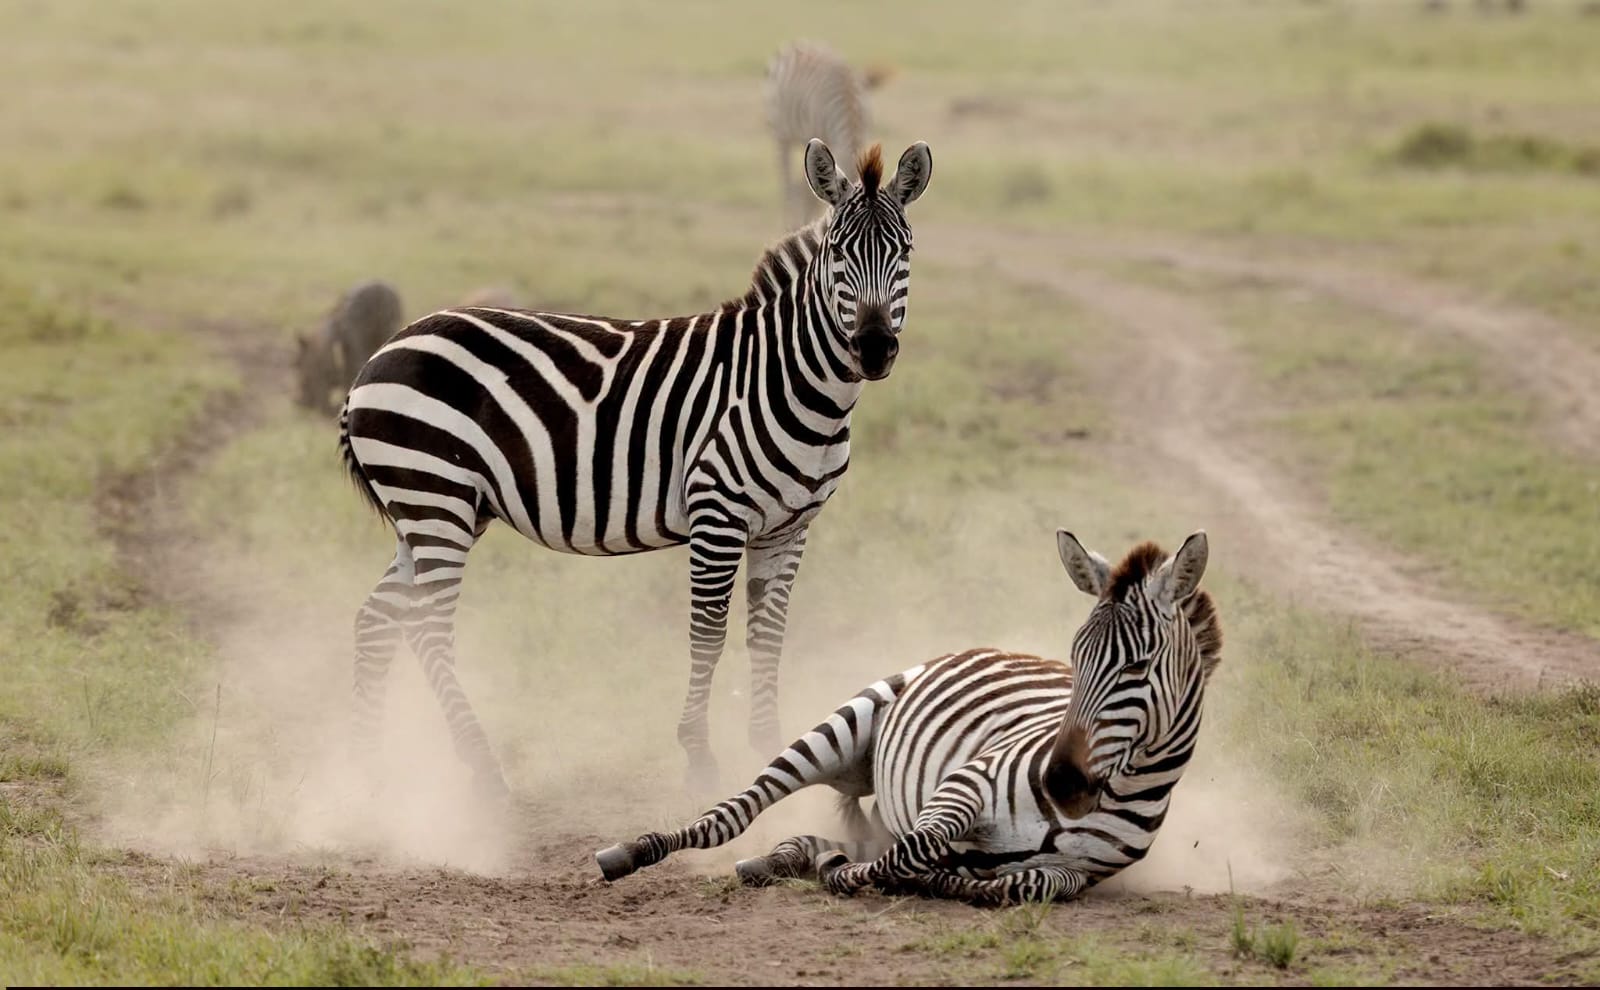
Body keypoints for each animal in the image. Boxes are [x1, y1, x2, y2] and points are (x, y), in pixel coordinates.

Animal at [338, 139, 934, 800]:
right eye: (836, 254)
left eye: (905, 252)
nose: (874, 348)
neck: (792, 382)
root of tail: (377, 357)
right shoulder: (717, 514)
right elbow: (709, 634)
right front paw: (699, 756)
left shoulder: (790, 526)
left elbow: (768, 635)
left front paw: (769, 744)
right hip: (435, 494)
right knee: (429, 628)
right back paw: (481, 766)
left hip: (438, 509)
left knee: (378, 618)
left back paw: (364, 767)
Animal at [595, 529, 1223, 905]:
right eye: (1076, 658)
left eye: (1138, 666)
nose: (1059, 782)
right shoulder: (965, 784)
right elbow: (910, 853)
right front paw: (845, 873)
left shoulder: (1076, 874)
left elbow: (1018, 884)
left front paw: (941, 877)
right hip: (842, 727)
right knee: (731, 813)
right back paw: (634, 852)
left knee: (831, 837)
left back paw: (784, 857)